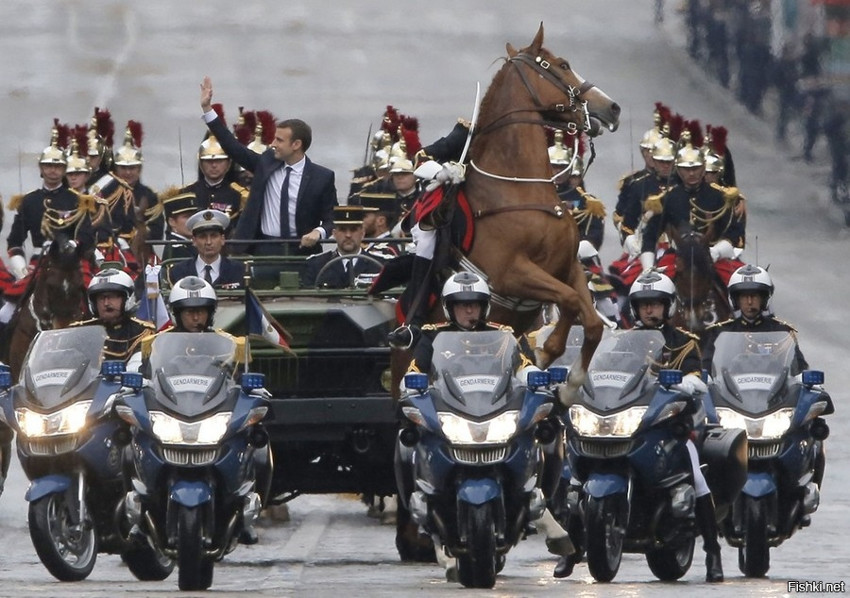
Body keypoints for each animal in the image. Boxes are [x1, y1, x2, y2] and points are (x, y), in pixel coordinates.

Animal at [458, 25, 616, 382]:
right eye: (563, 64)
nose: (612, 107)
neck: (517, 188)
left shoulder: (568, 267)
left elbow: (592, 322)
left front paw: (572, 381)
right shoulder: (511, 274)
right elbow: (570, 302)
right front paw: (543, 354)